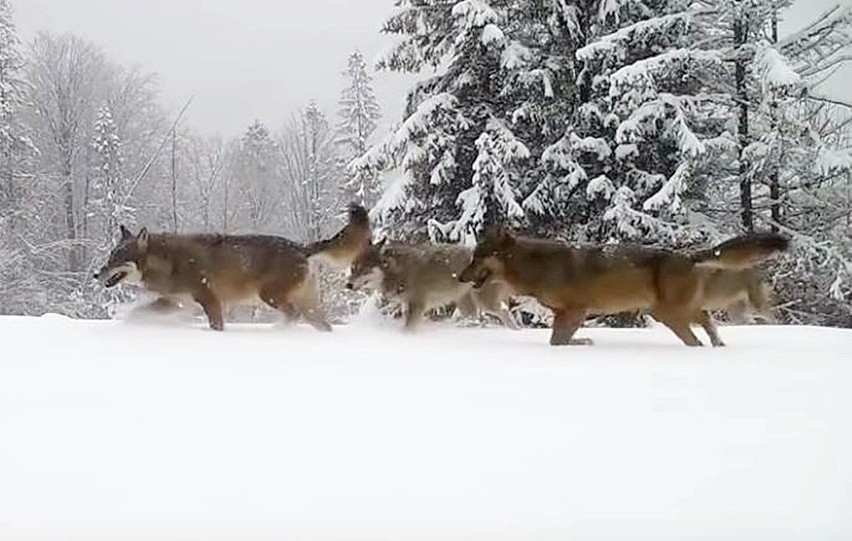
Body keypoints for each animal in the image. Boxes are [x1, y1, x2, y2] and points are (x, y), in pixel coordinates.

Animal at [346, 239, 520, 332]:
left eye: (364, 270)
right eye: (353, 268)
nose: (348, 284)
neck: (397, 270)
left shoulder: (417, 305)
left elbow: (408, 328)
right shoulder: (407, 305)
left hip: (486, 303)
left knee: (505, 313)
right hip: (466, 304)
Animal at [460, 228, 792, 346]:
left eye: (477, 258)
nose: (460, 277)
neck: (537, 267)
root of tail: (688, 256)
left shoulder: (575, 311)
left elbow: (558, 342)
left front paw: (583, 343)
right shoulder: (563, 314)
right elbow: (558, 340)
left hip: (669, 314)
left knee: (696, 337)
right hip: (673, 312)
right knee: (707, 323)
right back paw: (719, 346)